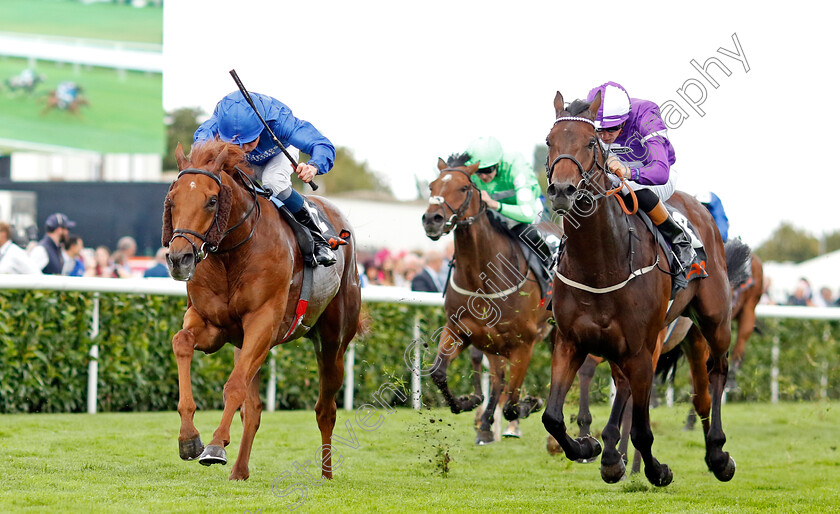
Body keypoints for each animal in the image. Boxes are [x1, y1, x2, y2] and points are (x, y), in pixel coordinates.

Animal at [163, 138, 360, 478]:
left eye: (212, 201)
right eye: (173, 200)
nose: (179, 259)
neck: (232, 254)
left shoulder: (263, 322)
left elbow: (234, 386)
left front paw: (214, 446)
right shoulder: (212, 324)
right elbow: (182, 342)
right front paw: (189, 438)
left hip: (333, 342)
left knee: (326, 408)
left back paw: (326, 474)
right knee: (253, 410)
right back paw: (239, 471)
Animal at [420, 154, 556, 442]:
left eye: (463, 188)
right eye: (432, 186)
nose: (432, 219)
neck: (482, 277)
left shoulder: (524, 344)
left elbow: (513, 404)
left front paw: (532, 403)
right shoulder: (460, 329)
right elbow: (438, 373)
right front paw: (467, 402)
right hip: (493, 342)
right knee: (498, 379)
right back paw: (484, 425)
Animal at [540, 90, 740, 486]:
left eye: (591, 142)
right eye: (549, 141)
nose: (562, 190)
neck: (600, 266)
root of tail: (701, 207)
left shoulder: (641, 349)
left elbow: (643, 431)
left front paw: (656, 470)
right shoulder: (570, 342)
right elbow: (552, 417)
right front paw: (588, 446)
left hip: (713, 321)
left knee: (716, 373)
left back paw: (718, 455)